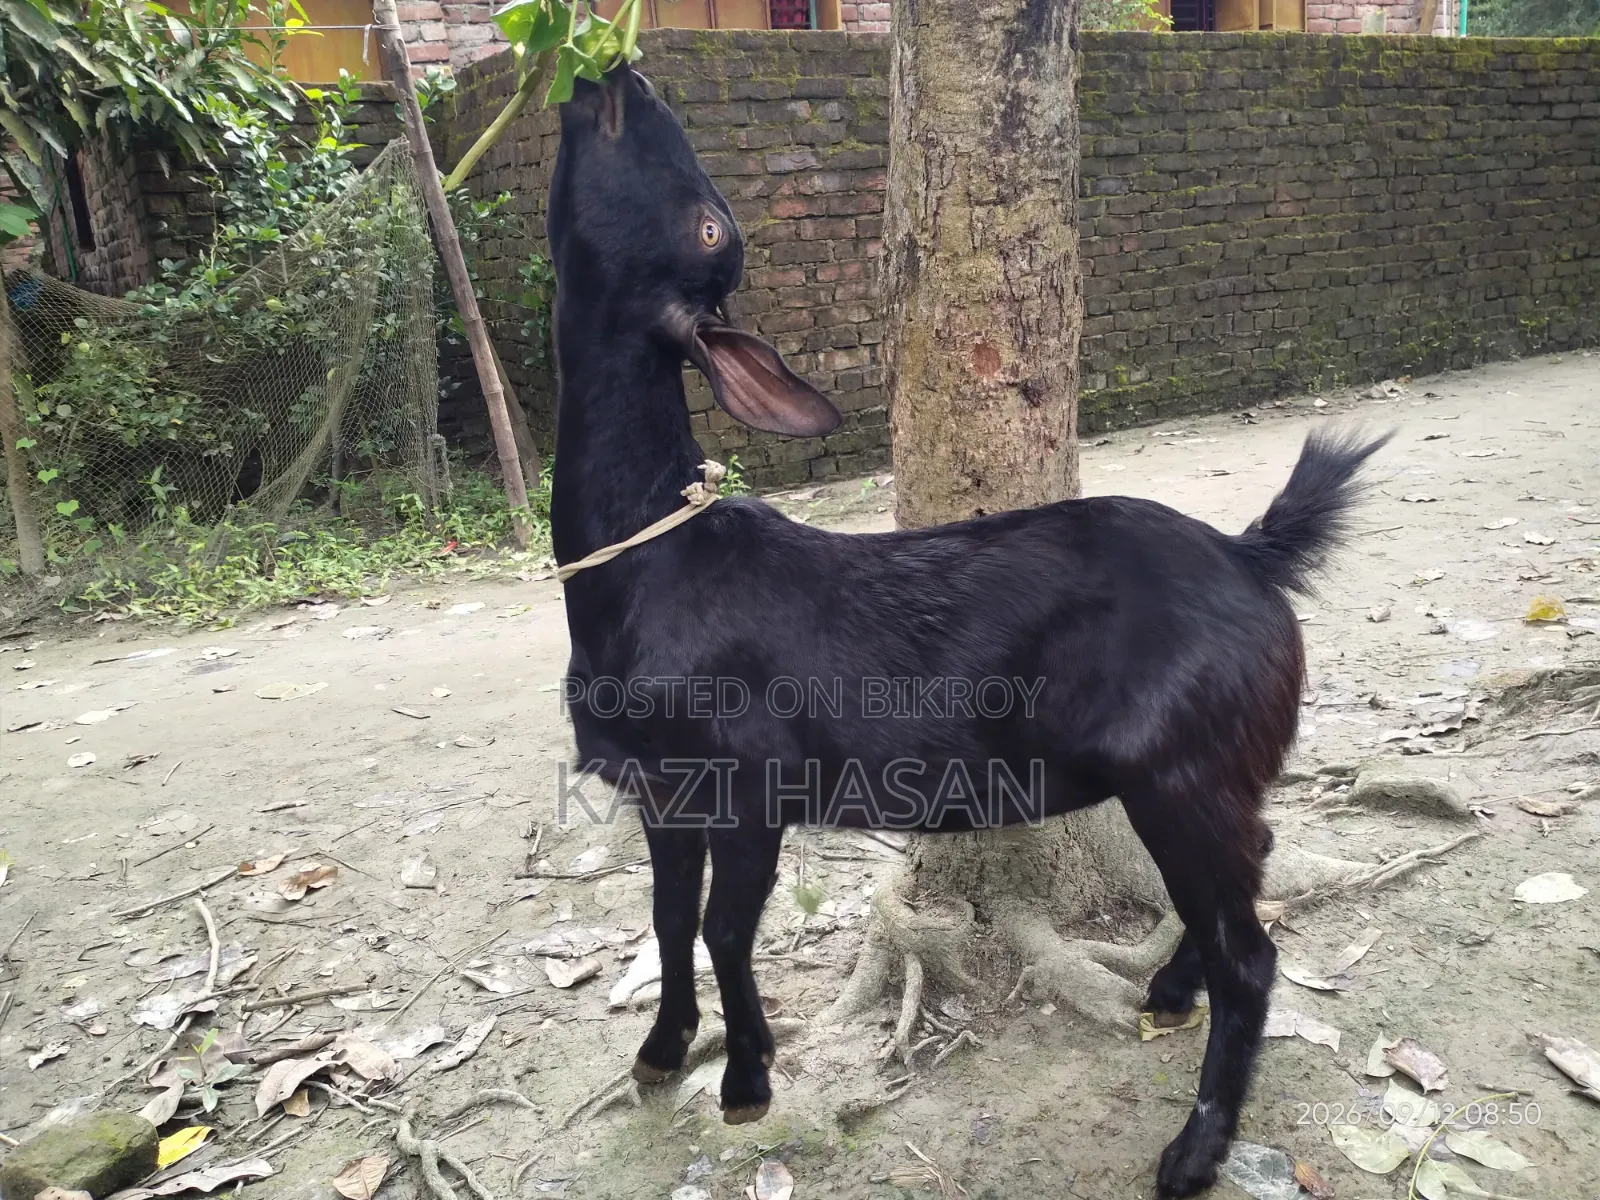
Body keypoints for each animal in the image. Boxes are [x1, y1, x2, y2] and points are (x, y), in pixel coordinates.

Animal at [546, 66, 1388, 1199]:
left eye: (711, 223)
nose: (617, 76)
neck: (653, 569)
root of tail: (1249, 552)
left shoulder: (753, 778)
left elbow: (724, 924)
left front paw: (747, 1081)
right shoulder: (659, 790)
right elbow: (668, 917)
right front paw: (660, 1052)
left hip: (1184, 763)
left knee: (1248, 948)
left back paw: (1194, 1147)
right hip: (1203, 770)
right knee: (1245, 867)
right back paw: (1170, 991)